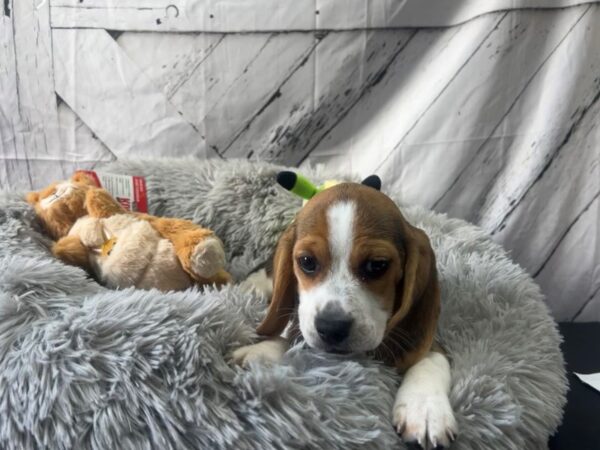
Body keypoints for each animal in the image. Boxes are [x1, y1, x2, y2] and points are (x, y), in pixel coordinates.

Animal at [232, 178, 458, 448]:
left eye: (377, 265)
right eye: (307, 262)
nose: (331, 328)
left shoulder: (426, 339)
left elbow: (430, 358)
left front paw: (425, 409)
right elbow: (294, 335)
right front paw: (260, 351)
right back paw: (252, 286)